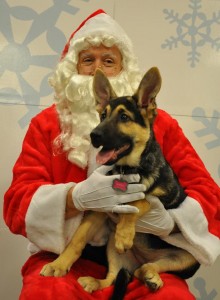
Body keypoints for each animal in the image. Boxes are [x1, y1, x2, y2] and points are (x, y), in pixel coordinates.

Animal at [40, 67, 200, 298]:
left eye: (124, 117)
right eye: (102, 116)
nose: (93, 135)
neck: (128, 169)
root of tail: (140, 260)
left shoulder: (167, 200)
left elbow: (142, 200)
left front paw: (125, 234)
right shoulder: (99, 208)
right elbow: (77, 239)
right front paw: (58, 264)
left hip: (189, 258)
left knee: (151, 267)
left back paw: (153, 277)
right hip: (112, 249)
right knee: (115, 277)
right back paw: (97, 282)